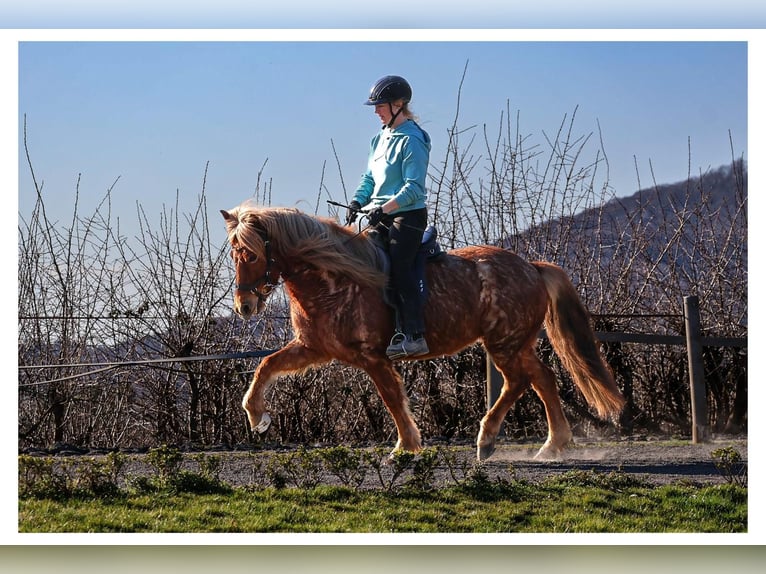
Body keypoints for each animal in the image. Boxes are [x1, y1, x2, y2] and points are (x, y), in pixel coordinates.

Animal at [221, 202, 625, 461]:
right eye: (233, 253)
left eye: (251, 254)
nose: (244, 306)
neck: (335, 278)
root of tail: (533, 267)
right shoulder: (313, 347)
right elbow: (266, 367)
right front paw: (257, 418)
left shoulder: (372, 356)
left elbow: (392, 399)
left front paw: (406, 447)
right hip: (516, 344)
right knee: (542, 379)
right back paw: (551, 445)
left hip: (505, 344)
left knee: (521, 382)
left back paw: (488, 440)